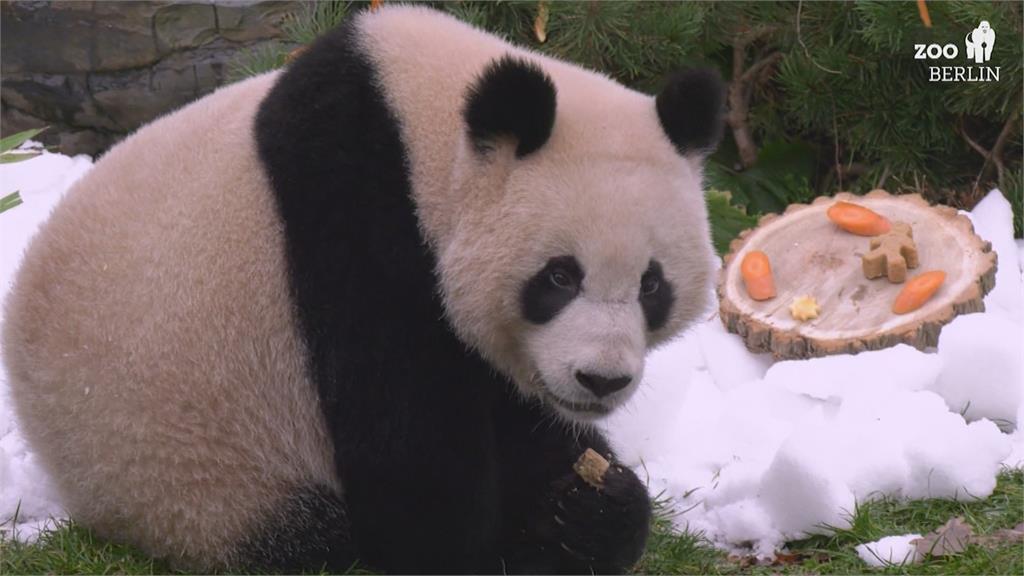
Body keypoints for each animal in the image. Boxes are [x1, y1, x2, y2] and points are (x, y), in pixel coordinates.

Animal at [2, 5, 720, 573]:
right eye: (560, 276)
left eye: (652, 285)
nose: (602, 380)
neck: (424, 129)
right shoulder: (356, 221)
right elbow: (406, 451)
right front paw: (494, 549)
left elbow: (513, 412)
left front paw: (590, 507)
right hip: (189, 477)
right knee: (309, 542)